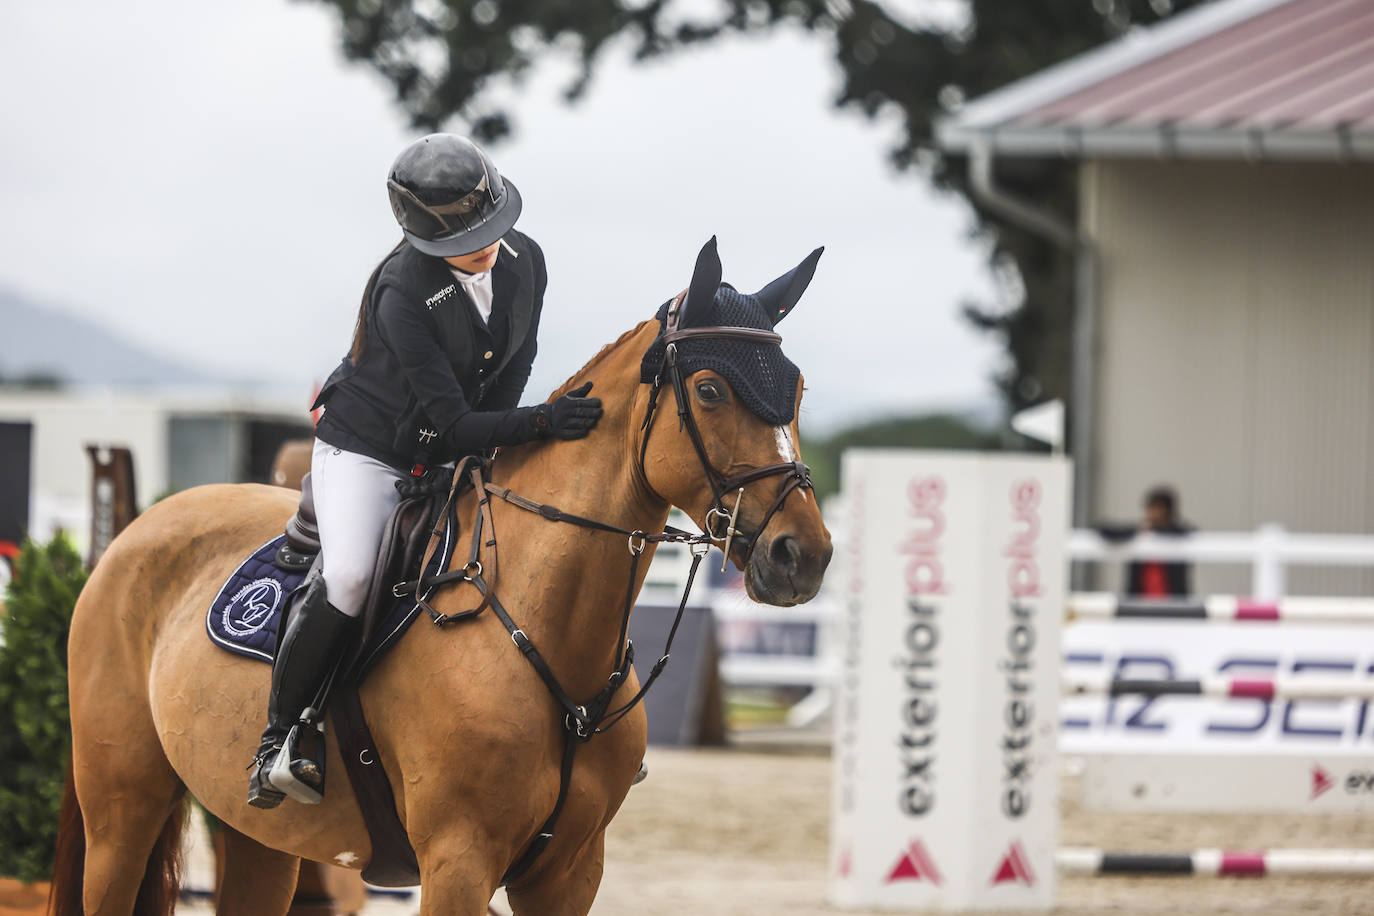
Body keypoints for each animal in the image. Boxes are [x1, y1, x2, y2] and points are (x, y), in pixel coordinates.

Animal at [50, 238, 824, 916]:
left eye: (797, 389)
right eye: (709, 389)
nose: (804, 556)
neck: (539, 629)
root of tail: (136, 531)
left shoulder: (571, 874)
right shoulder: (459, 862)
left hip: (257, 837)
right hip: (121, 808)